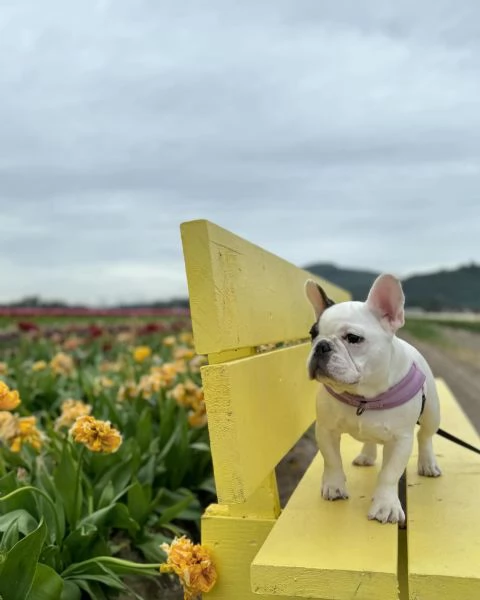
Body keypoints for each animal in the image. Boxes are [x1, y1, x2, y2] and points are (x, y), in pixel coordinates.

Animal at [306, 274, 440, 524]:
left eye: (353, 338)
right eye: (312, 334)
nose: (321, 346)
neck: (363, 398)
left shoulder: (400, 440)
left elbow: (389, 474)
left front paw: (385, 505)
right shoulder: (326, 429)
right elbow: (332, 460)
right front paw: (334, 487)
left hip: (432, 414)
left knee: (425, 437)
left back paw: (428, 464)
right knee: (370, 439)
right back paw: (366, 456)